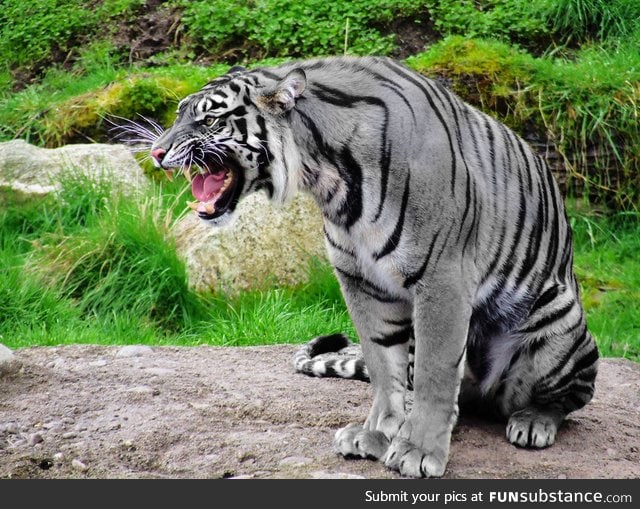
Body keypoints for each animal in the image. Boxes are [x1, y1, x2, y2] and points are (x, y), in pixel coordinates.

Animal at [148, 55, 596, 476]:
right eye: (179, 114)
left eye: (209, 119)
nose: (156, 152)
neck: (329, 179)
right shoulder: (361, 280)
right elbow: (382, 364)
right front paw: (379, 434)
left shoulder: (443, 278)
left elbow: (436, 371)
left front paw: (418, 451)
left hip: (559, 313)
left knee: (569, 398)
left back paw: (533, 422)